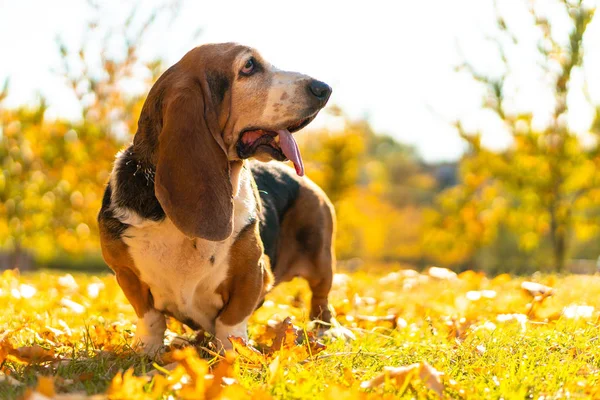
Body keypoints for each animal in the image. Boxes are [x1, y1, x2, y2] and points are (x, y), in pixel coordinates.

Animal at [96, 42, 336, 352]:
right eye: (249, 66)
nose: (324, 88)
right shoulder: (125, 272)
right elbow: (149, 317)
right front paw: (147, 349)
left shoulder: (252, 272)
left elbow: (231, 321)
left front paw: (233, 353)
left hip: (321, 263)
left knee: (321, 304)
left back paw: (326, 334)